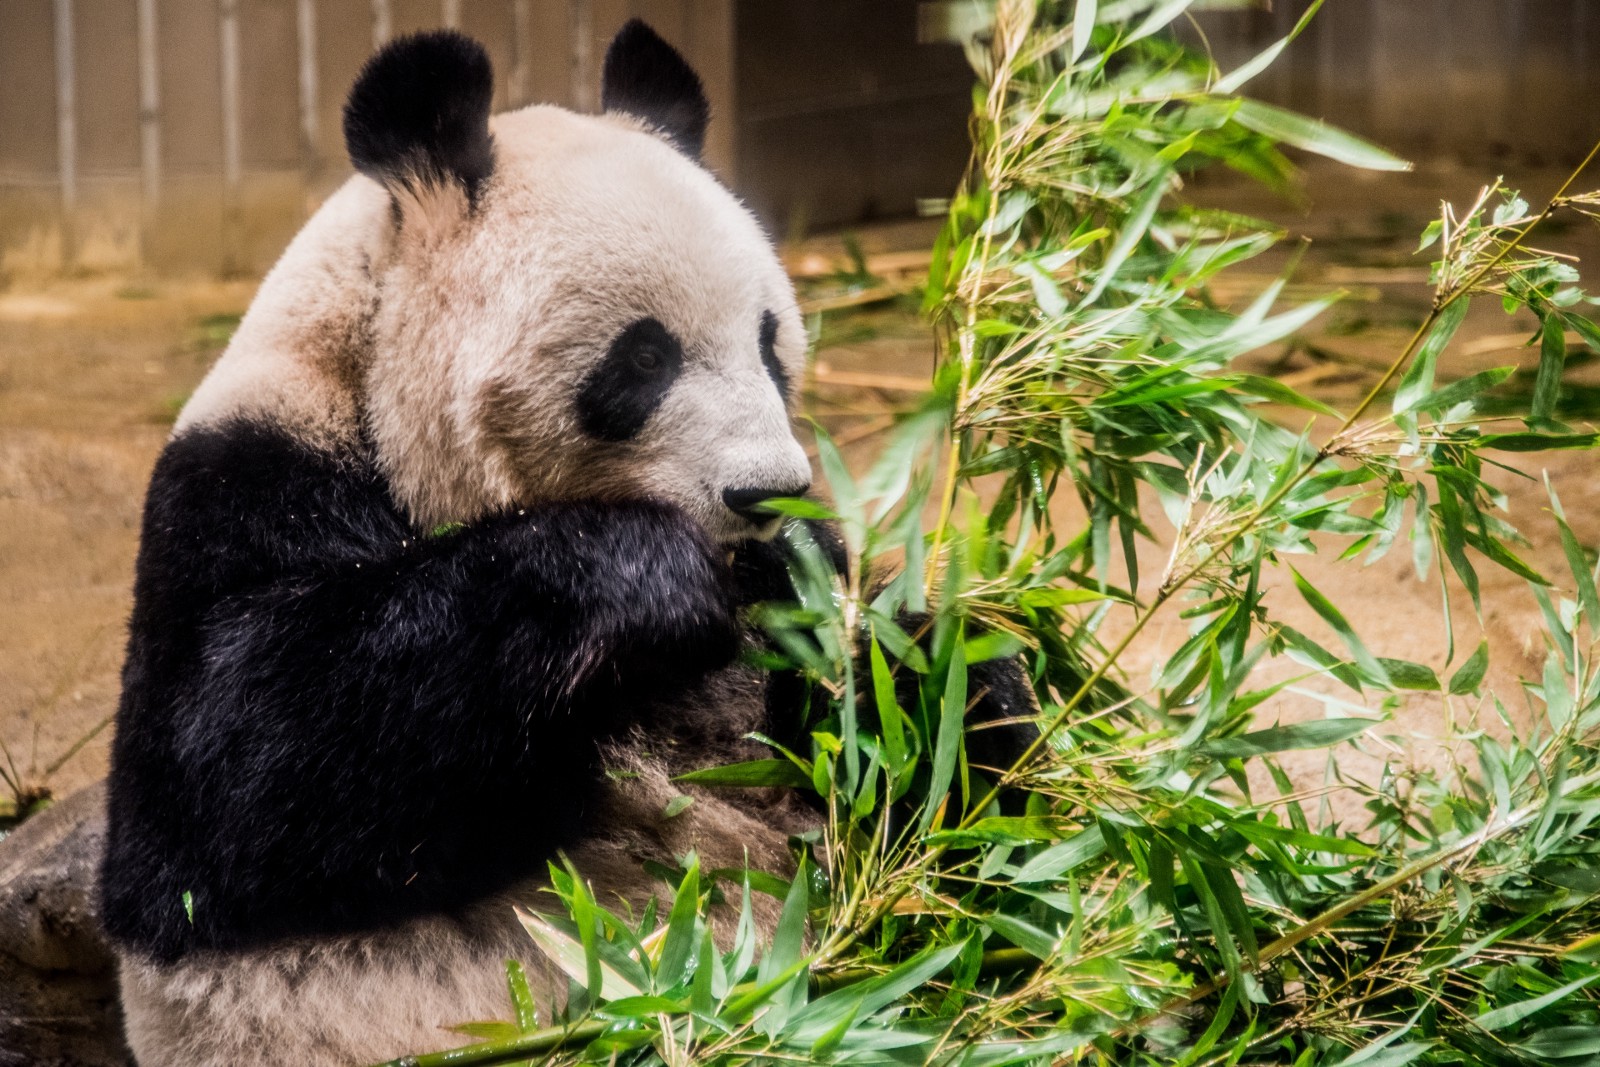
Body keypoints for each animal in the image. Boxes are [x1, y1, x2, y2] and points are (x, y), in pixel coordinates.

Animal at [93, 18, 1030, 1067]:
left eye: (769, 342)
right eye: (645, 357)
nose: (765, 490)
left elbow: (869, 714)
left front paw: (880, 629)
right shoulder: (241, 490)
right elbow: (236, 784)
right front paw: (647, 580)